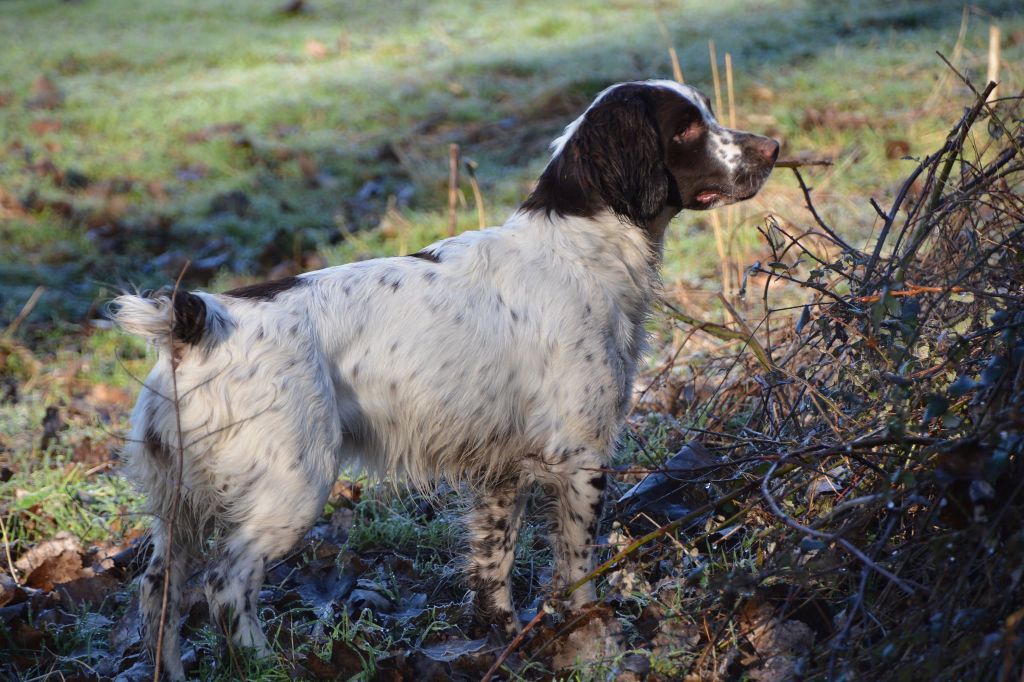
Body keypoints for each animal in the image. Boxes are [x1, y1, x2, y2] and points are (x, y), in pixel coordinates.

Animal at [114, 78, 774, 675]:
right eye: (685, 129)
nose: (772, 146)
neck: (581, 244)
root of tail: (197, 324)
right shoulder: (581, 454)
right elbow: (578, 570)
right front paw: (596, 642)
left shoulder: (502, 470)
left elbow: (494, 565)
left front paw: (506, 639)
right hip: (292, 486)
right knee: (226, 586)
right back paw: (267, 664)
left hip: (179, 506)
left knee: (158, 592)